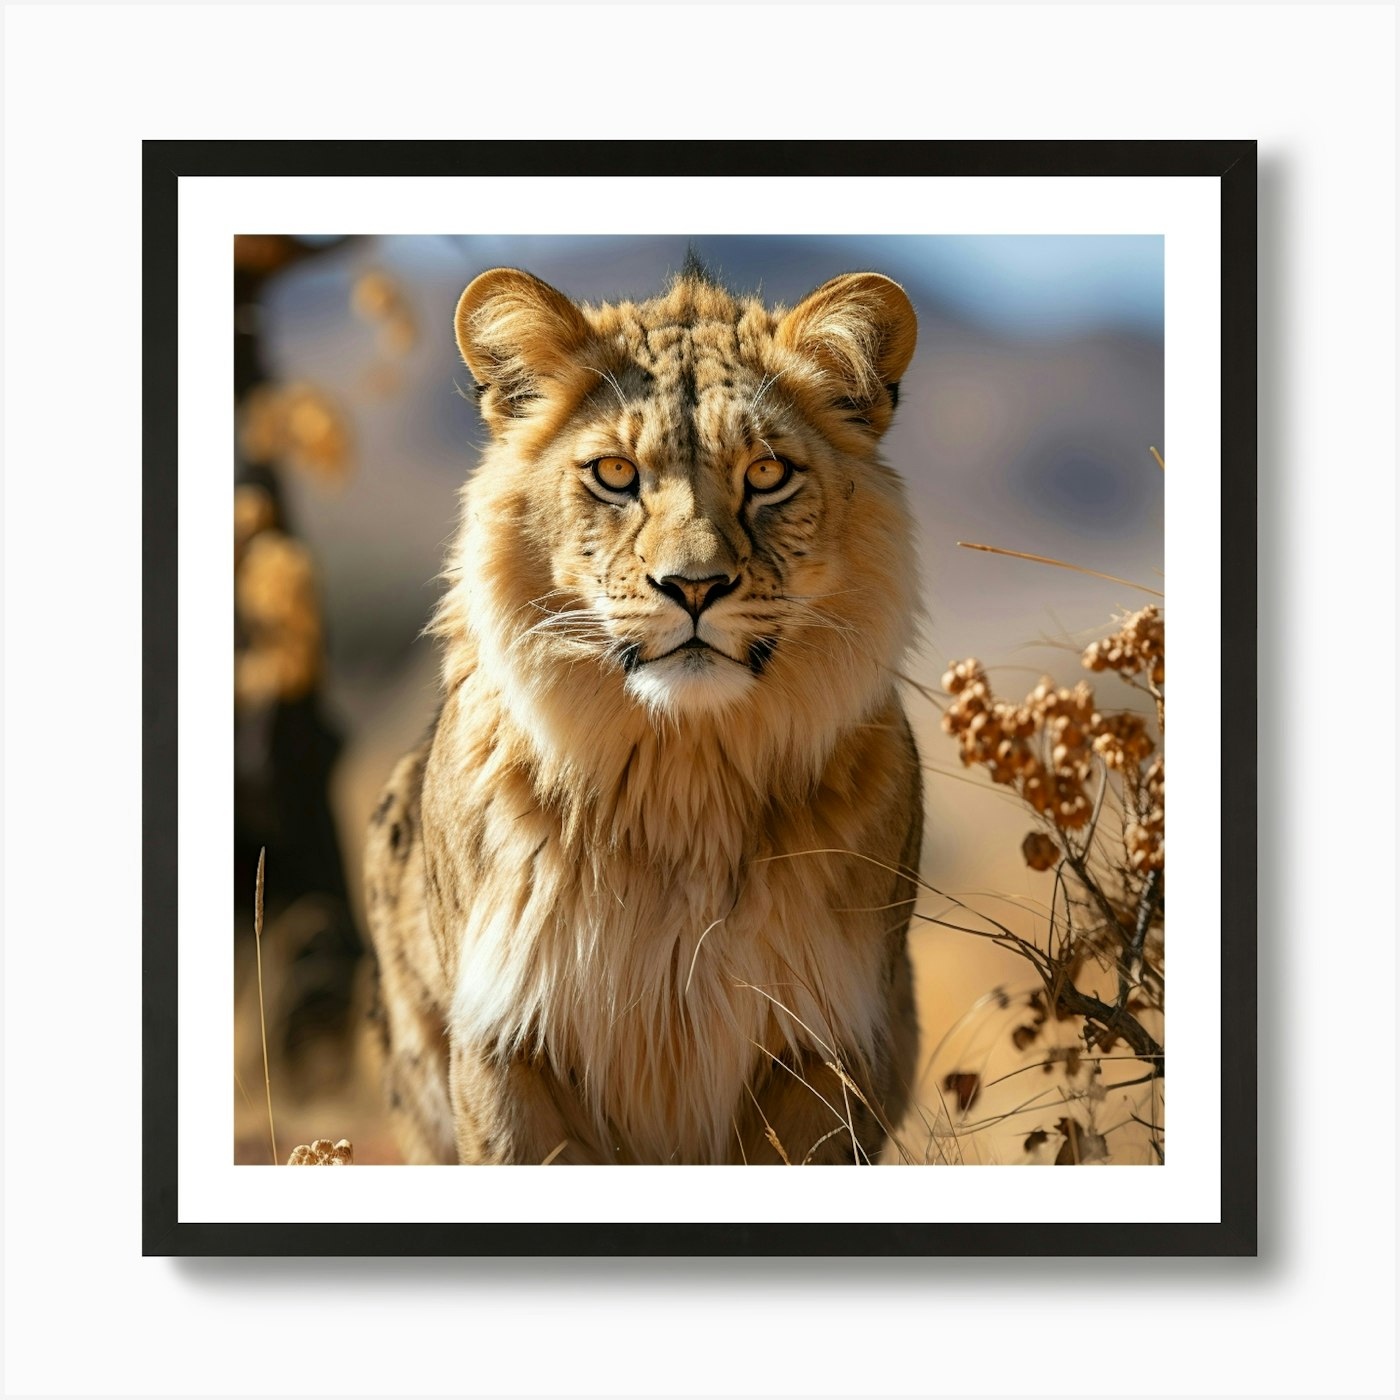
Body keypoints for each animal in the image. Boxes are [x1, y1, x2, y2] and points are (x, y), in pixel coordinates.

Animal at [364, 256, 923, 1164]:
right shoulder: (503, 1044)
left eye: (767, 474)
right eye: (616, 475)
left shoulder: (825, 1046)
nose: (693, 587)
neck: (681, 778)